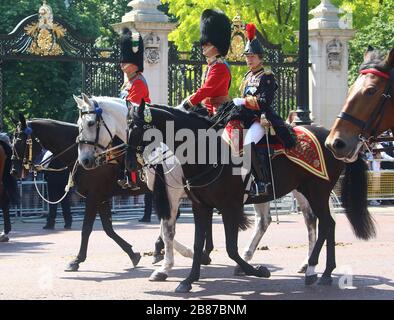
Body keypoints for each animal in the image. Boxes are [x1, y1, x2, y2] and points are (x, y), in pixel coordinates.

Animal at [126, 101, 376, 294]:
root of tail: (333, 138)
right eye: (127, 128)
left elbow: (229, 248)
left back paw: (315, 270)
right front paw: (188, 279)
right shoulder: (200, 206)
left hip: (317, 190)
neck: (206, 154)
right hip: (305, 190)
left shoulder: (228, 206)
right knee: (320, 223)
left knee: (324, 223)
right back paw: (321, 271)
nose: (129, 166)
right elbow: (196, 242)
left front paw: (257, 270)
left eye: (137, 128)